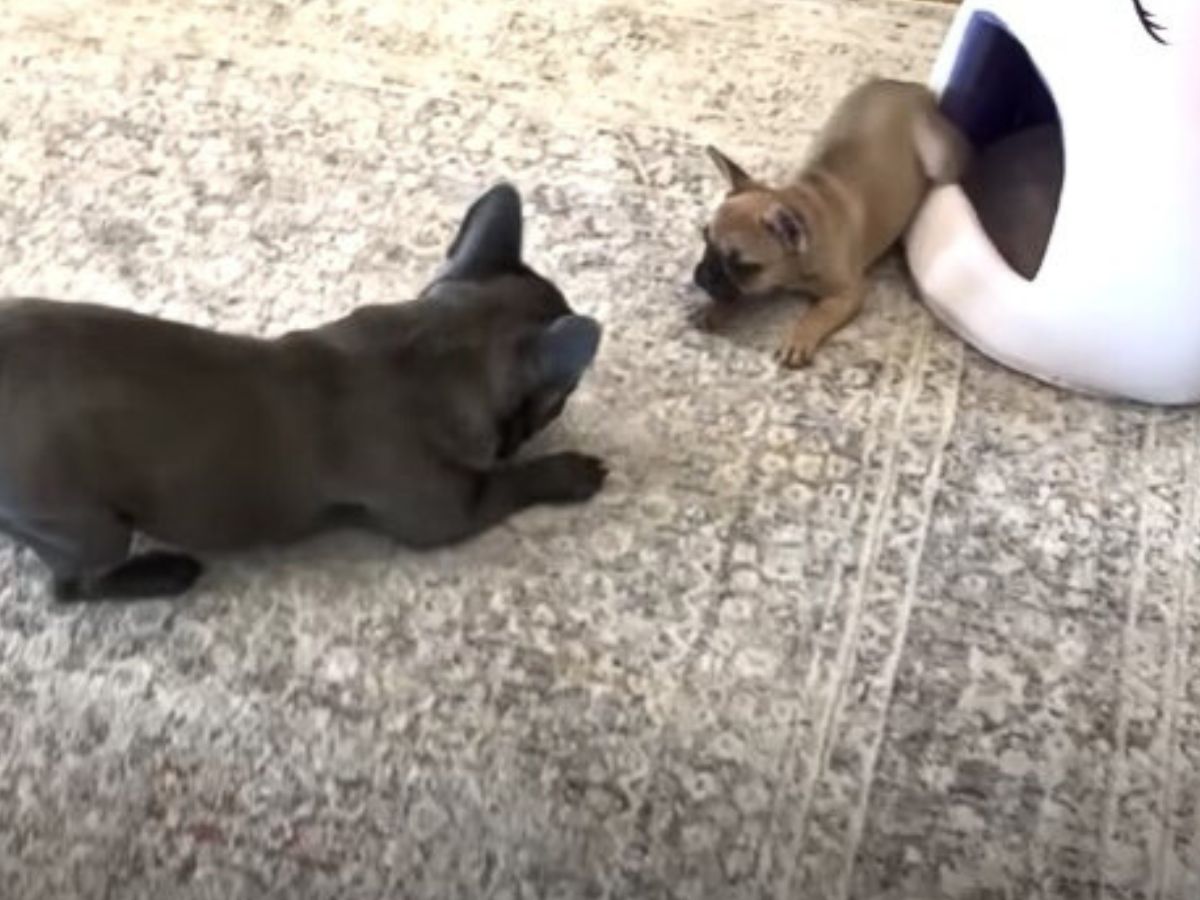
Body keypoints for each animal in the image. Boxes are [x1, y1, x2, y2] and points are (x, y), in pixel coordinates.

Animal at [0, 183, 604, 602]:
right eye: (563, 396)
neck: (435, 344)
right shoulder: (451, 510)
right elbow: (512, 481)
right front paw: (573, 471)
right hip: (87, 523)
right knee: (74, 585)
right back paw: (166, 574)